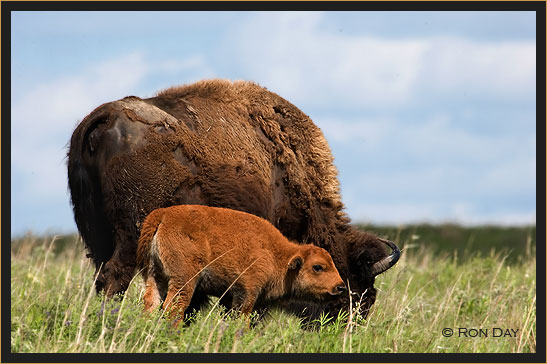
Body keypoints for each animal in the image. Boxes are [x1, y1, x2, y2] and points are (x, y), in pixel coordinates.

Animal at [136, 205, 346, 322]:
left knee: (151, 303)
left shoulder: (229, 298)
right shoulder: (247, 292)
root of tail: (163, 215)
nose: (340, 287)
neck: (276, 254)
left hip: (154, 275)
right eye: (318, 267)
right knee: (173, 307)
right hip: (184, 279)